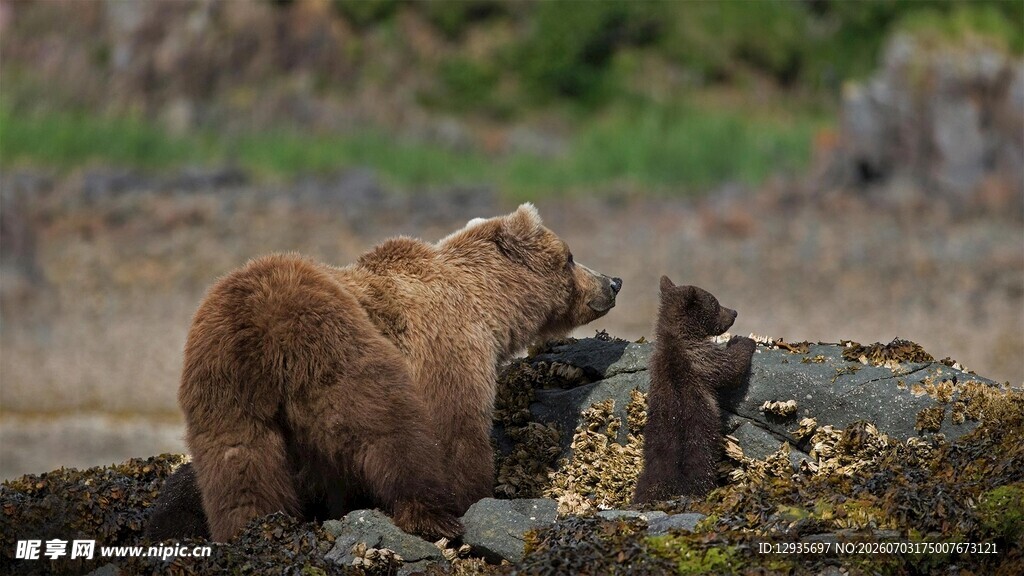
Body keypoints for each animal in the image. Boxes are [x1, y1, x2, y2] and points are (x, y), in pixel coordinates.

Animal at [175, 203, 622, 542]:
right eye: (570, 257)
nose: (613, 281)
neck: (490, 307)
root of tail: (258, 329)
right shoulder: (446, 345)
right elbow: (455, 428)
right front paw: (476, 493)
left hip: (222, 386)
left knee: (238, 466)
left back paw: (251, 528)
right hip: (336, 348)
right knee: (390, 432)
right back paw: (432, 514)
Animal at [633, 276, 754, 504]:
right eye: (716, 304)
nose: (734, 312)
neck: (677, 337)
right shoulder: (701, 357)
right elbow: (729, 367)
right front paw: (743, 341)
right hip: (700, 451)